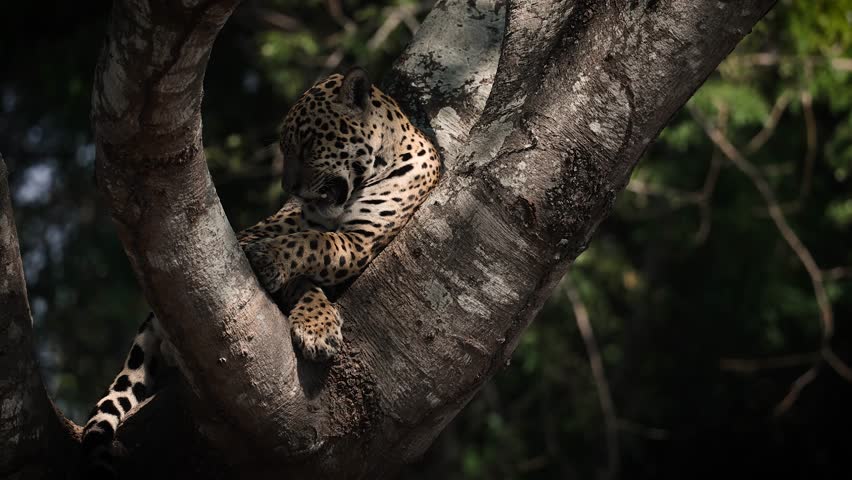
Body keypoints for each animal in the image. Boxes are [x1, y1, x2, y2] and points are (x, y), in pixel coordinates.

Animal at [79, 67, 441, 475]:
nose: (289, 187)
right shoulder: (280, 225)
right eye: (286, 147)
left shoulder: (358, 240)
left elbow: (312, 244)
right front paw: (314, 321)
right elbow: (296, 262)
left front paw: (274, 267)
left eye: (309, 143)